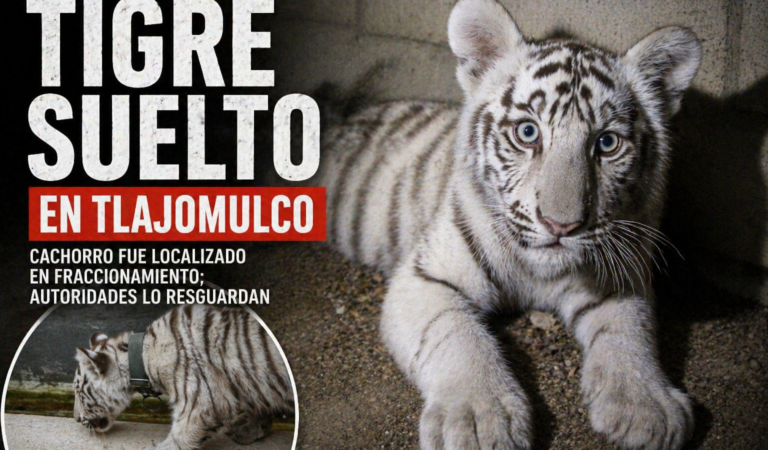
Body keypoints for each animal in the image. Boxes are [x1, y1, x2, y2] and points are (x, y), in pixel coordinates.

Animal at [73, 304, 294, 450]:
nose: (76, 418)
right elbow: (261, 405)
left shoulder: (202, 401)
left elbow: (180, 437)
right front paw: (250, 430)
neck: (141, 357)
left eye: (79, 392)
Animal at [309, 0, 702, 448]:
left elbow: (628, 332)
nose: (560, 226)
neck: (538, 274)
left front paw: (647, 406)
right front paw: (478, 419)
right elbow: (457, 336)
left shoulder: (620, 275)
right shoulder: (425, 279)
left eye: (606, 143)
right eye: (527, 132)